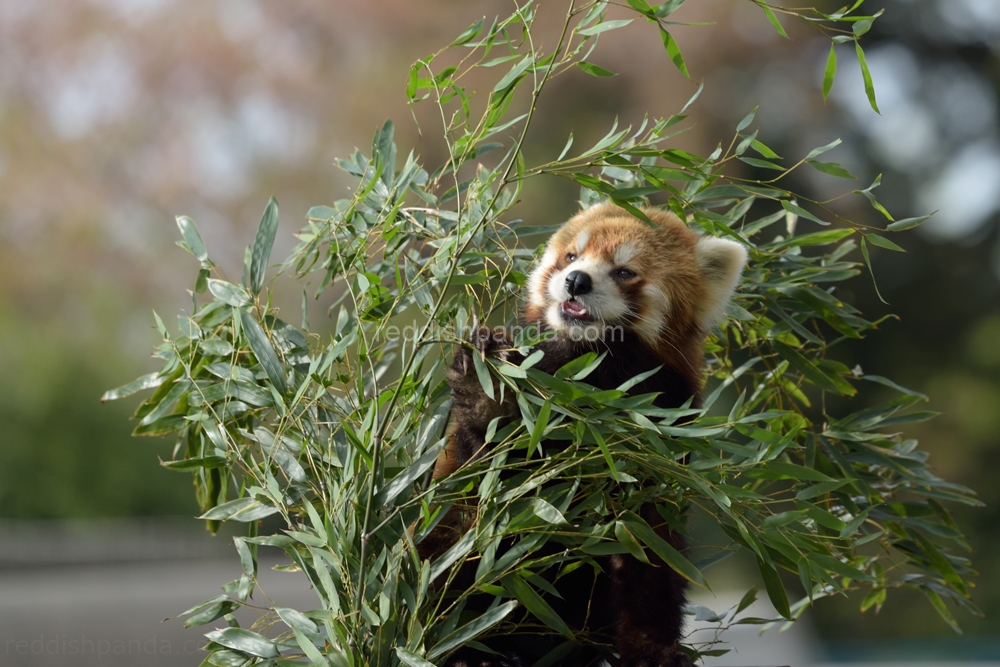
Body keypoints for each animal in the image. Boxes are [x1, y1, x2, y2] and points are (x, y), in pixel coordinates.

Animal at [424, 202, 752, 667]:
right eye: (571, 257)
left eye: (624, 271)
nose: (576, 280)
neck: (592, 373)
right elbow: (492, 476)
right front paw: (489, 390)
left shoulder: (659, 437)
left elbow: (649, 552)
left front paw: (653, 649)